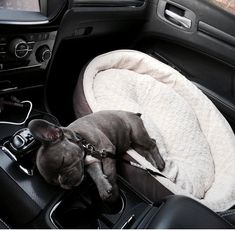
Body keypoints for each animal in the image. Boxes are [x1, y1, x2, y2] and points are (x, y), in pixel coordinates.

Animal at [28, 109, 165, 201]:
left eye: (63, 161)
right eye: (55, 183)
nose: (64, 183)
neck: (83, 143)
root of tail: (134, 113)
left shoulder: (107, 151)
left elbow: (109, 173)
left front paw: (113, 193)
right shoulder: (91, 162)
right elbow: (96, 174)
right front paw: (103, 188)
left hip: (137, 134)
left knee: (152, 143)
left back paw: (159, 163)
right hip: (135, 143)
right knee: (146, 150)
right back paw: (151, 163)